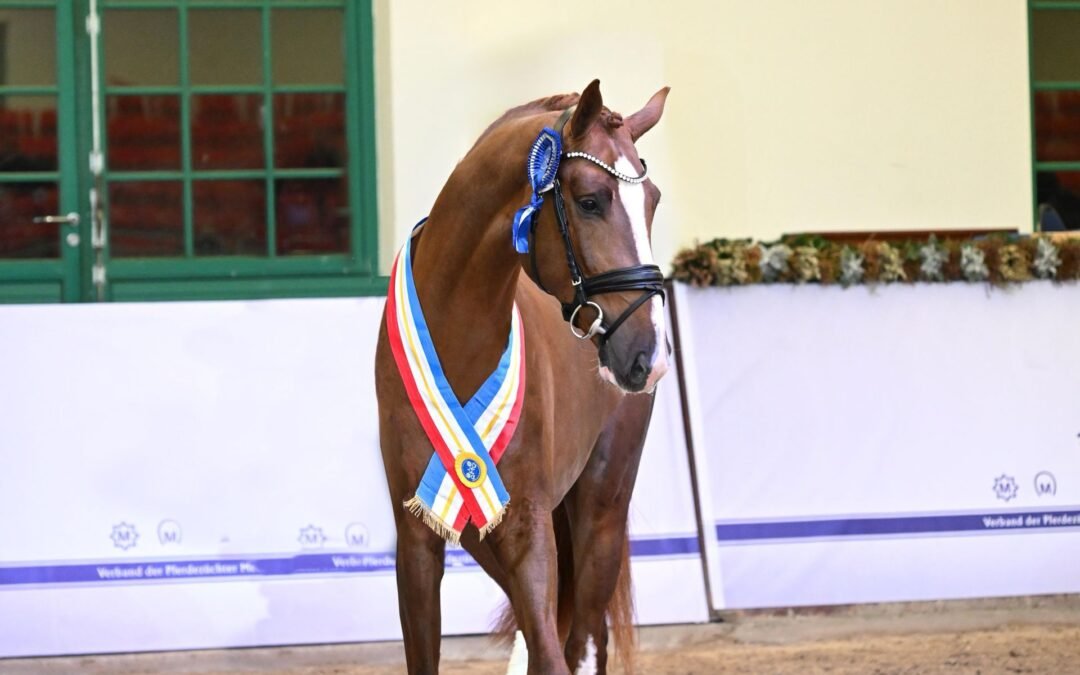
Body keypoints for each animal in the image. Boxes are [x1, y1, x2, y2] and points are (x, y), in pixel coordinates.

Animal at [375, 79, 670, 674]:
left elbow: (556, 653)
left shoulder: (526, 532)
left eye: (651, 201)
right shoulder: (417, 539)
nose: (648, 355)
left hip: (601, 512)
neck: (459, 338)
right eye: (590, 200)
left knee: (584, 639)